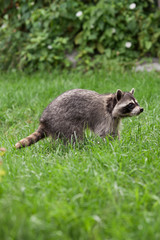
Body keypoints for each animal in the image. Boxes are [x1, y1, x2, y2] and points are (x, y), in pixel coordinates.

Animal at [15, 88, 144, 148]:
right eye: (130, 105)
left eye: (137, 103)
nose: (141, 109)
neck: (111, 106)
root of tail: (44, 121)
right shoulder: (104, 118)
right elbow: (103, 133)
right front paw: (107, 145)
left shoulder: (114, 120)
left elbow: (113, 132)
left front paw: (117, 143)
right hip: (63, 121)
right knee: (75, 135)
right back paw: (78, 146)